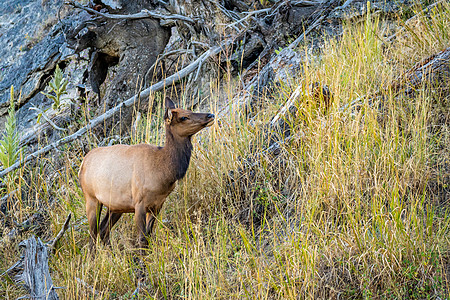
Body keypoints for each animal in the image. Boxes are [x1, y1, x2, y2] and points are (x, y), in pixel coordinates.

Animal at [79, 97, 214, 250]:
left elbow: (149, 237)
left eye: (188, 110)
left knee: (103, 229)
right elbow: (142, 239)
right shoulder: (139, 203)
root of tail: (82, 164)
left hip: (116, 205)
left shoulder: (157, 204)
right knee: (92, 234)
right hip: (91, 198)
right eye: (183, 117)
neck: (164, 172)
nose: (210, 115)